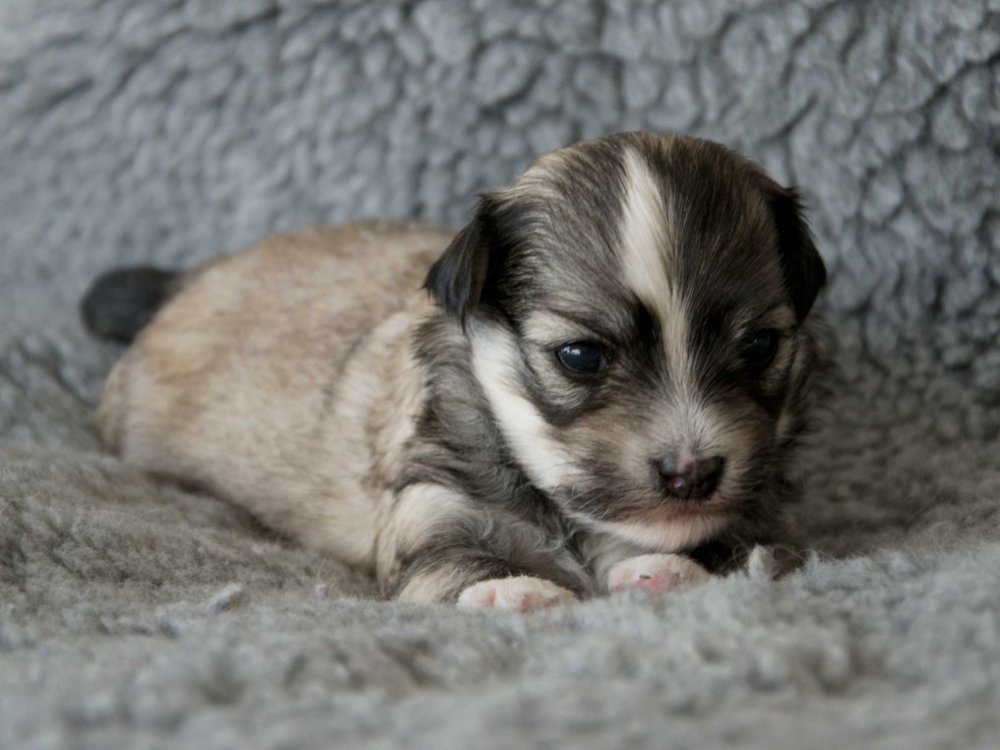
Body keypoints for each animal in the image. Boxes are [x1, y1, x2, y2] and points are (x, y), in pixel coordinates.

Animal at [80, 132, 828, 612]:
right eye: (581, 356)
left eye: (758, 346)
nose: (692, 473)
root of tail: (189, 277)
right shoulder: (428, 504)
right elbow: (447, 561)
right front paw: (509, 588)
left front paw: (666, 569)